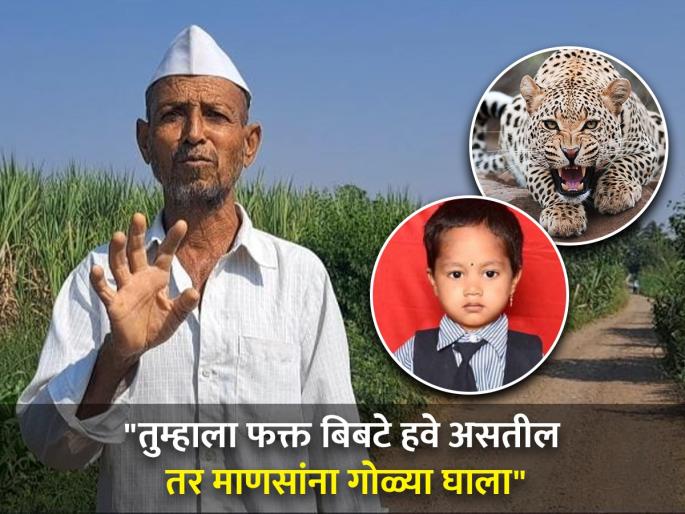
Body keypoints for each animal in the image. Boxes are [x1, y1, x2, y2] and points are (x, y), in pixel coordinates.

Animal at [472, 48, 666, 238]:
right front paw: (564, 216)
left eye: (591, 124)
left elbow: (624, 164)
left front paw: (614, 194)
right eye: (550, 124)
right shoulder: (531, 161)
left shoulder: (646, 149)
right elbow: (548, 185)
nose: (570, 152)